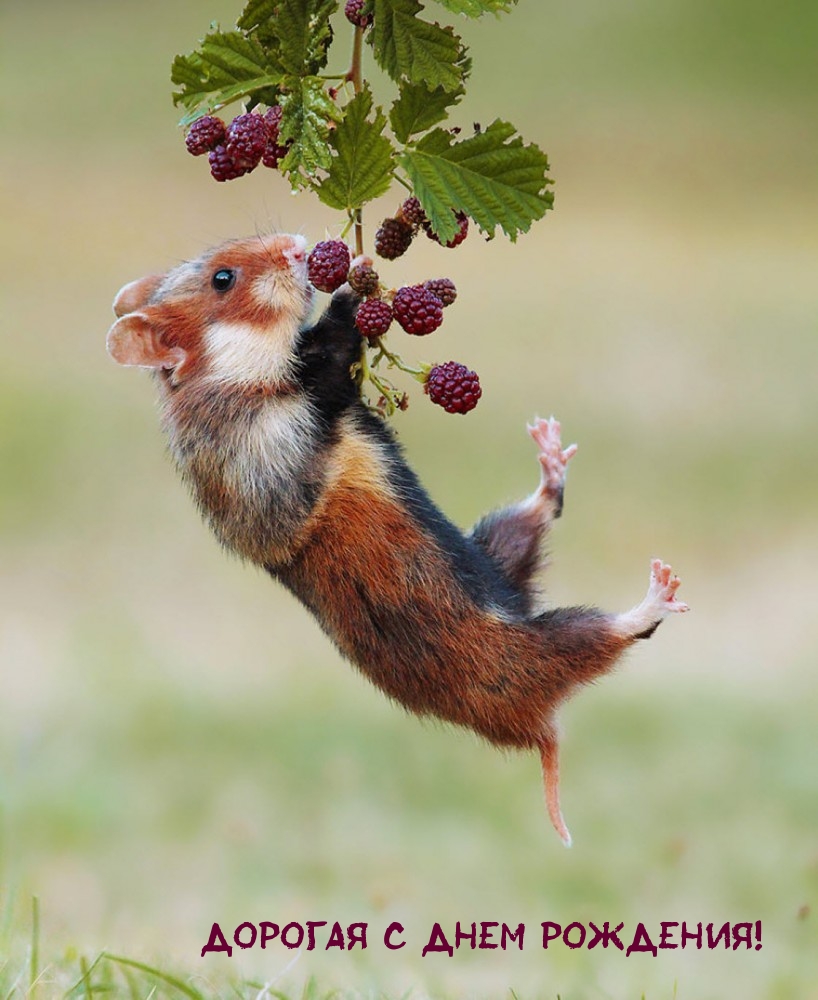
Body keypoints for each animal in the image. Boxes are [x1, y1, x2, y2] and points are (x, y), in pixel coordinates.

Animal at [105, 234, 684, 844]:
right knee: (613, 636)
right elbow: (334, 347)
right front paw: (354, 273)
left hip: (492, 547)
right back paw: (659, 590)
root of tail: (538, 732)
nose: (298, 245)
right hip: (537, 649)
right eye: (223, 278)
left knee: (539, 512)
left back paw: (550, 449)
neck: (221, 381)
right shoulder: (290, 420)